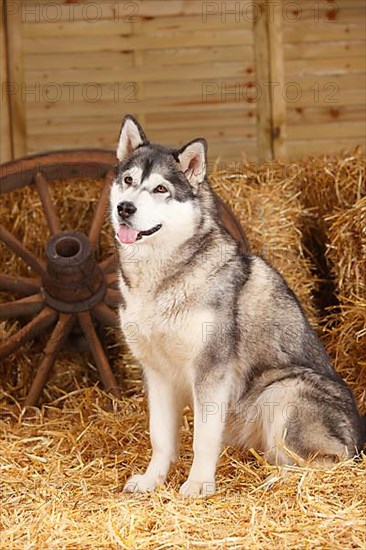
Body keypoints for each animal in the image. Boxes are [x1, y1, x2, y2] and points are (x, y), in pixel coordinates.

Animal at [110, 114, 364, 498]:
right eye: (128, 181)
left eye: (161, 190)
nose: (125, 208)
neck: (161, 277)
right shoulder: (156, 372)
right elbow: (160, 438)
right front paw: (152, 480)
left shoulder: (211, 371)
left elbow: (202, 438)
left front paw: (198, 484)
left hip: (284, 390)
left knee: (330, 463)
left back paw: (278, 480)